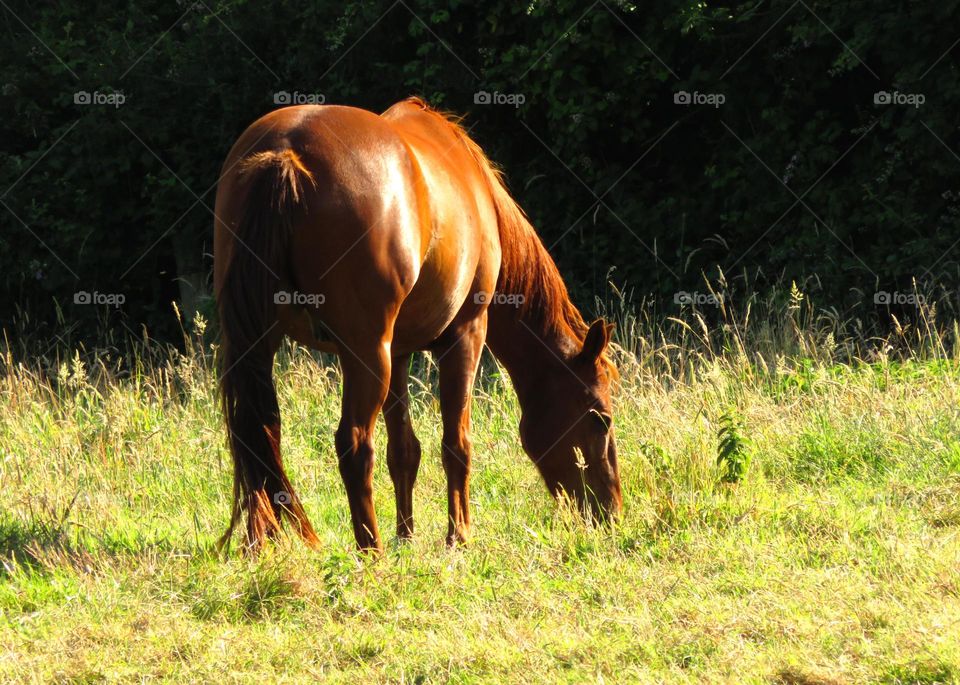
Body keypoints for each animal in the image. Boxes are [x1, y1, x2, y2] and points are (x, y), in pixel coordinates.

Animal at [212, 95, 624, 552]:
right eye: (600, 418)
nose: (611, 512)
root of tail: (287, 151)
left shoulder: (400, 351)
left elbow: (404, 450)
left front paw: (407, 536)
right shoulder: (465, 337)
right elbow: (456, 444)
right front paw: (458, 536)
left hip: (263, 347)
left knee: (259, 434)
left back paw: (262, 544)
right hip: (366, 354)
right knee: (354, 445)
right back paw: (370, 550)